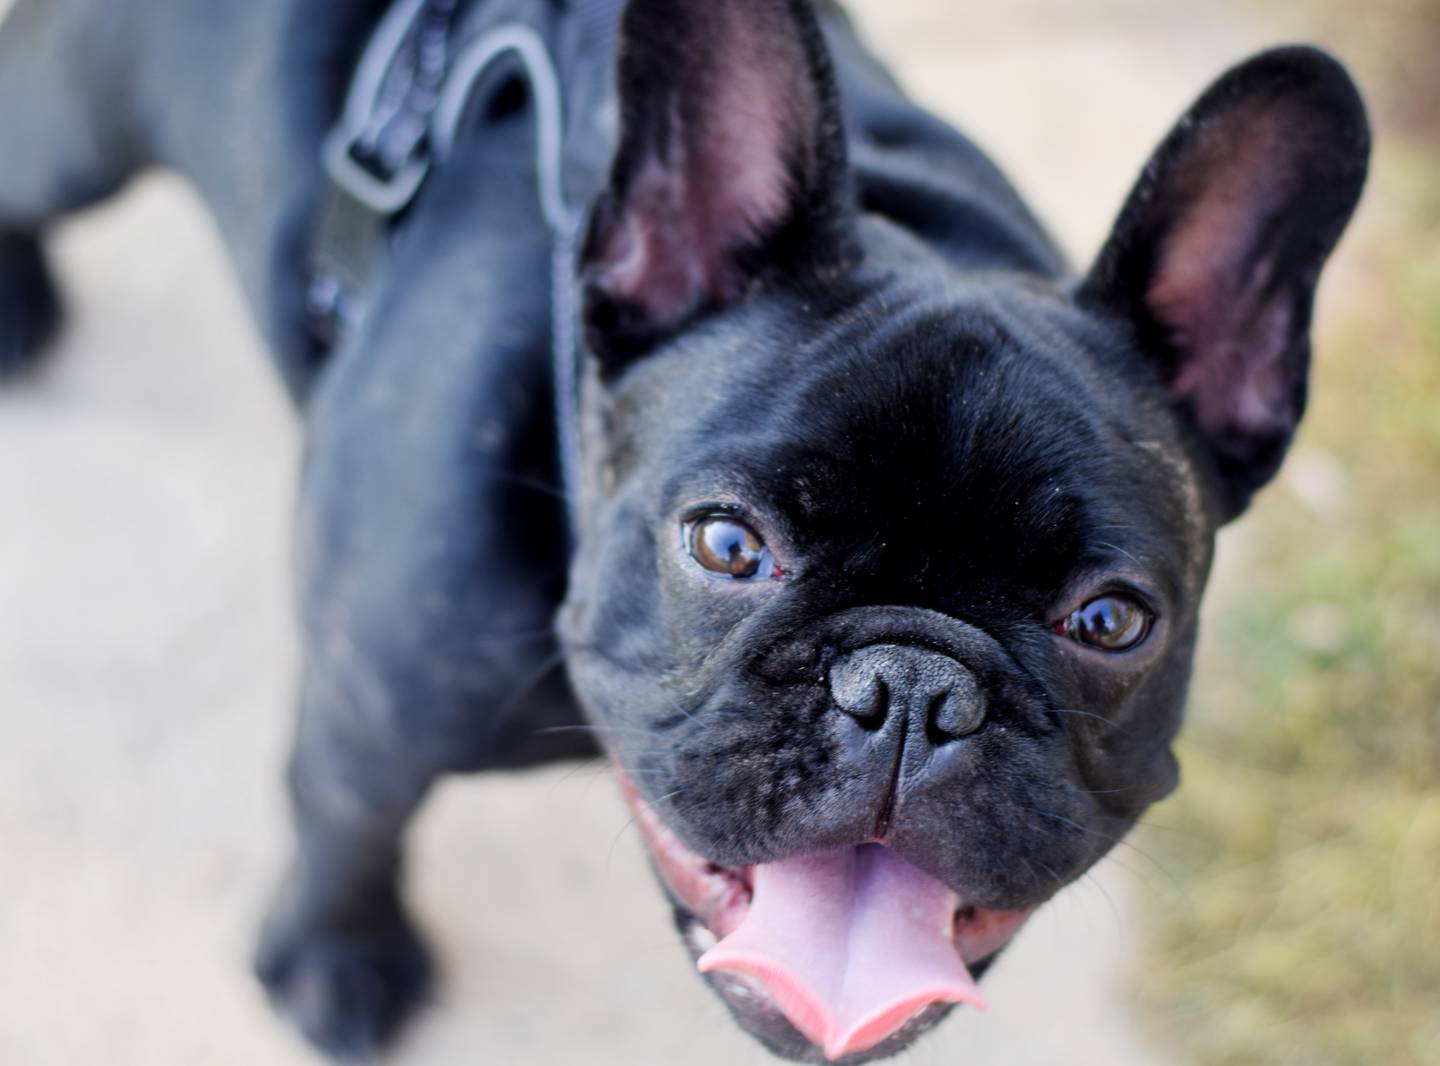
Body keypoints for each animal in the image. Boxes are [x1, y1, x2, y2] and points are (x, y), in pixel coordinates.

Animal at [0, 0, 1365, 1060]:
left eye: (1112, 620)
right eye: (727, 547)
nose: (914, 687)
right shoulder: (370, 707)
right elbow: (348, 815)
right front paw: (338, 960)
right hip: (74, 126)